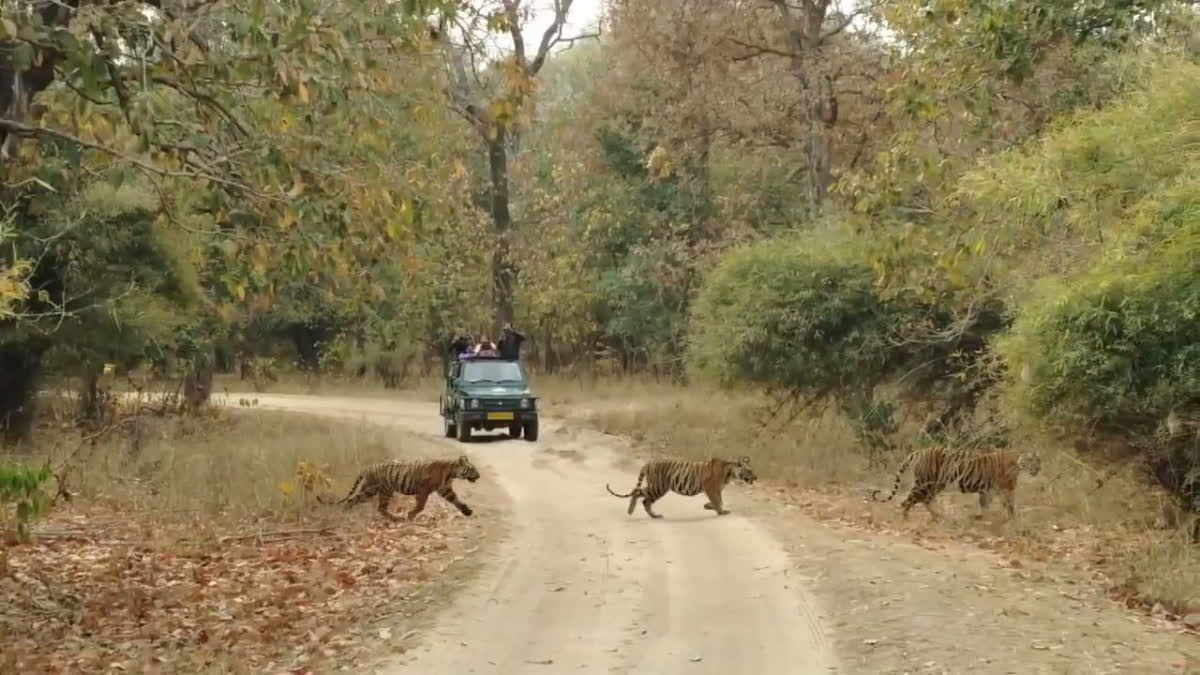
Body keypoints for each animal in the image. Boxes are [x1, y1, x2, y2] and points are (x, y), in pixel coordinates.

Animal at [318, 455, 481, 521]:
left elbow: (457, 501)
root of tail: (367, 468)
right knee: (374, 506)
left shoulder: (445, 490)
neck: (452, 473)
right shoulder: (423, 490)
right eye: (472, 469)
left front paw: (467, 511)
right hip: (381, 490)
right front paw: (411, 515)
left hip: (371, 490)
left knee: (358, 500)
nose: (479, 476)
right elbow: (421, 505)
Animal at [605, 455, 757, 519]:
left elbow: (718, 501)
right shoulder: (711, 488)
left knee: (641, 496)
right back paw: (633, 511)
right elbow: (718, 501)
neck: (730, 473)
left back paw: (652, 515)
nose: (756, 477)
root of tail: (648, 463)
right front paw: (721, 511)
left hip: (657, 487)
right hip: (658, 487)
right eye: (749, 471)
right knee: (640, 495)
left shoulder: (717, 490)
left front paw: (708, 506)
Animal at [870, 446, 1042, 520]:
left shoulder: (988, 490)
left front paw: (982, 518)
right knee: (908, 500)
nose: (1038, 469)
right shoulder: (1007, 489)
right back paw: (906, 518)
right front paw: (1012, 520)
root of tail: (921, 451)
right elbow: (1010, 505)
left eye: (1038, 461)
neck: (1018, 463)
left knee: (926, 500)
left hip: (936, 485)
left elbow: (985, 505)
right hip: (924, 483)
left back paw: (937, 517)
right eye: (1031, 461)